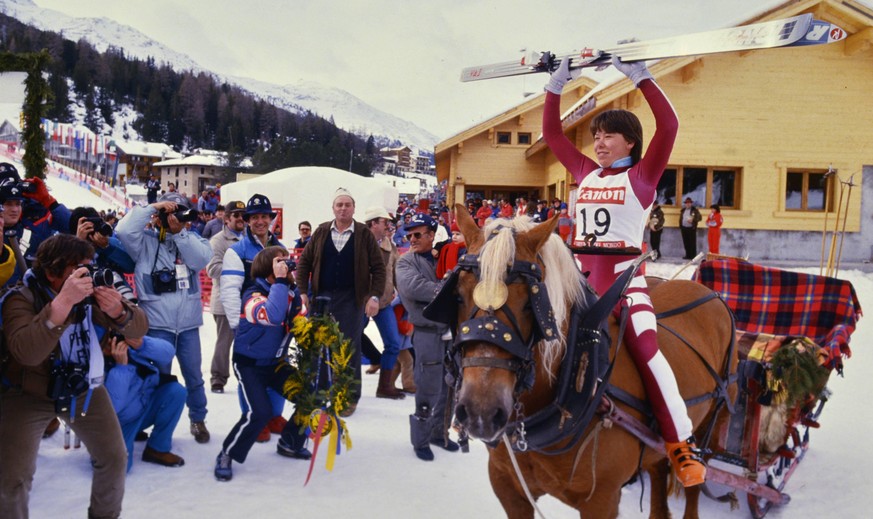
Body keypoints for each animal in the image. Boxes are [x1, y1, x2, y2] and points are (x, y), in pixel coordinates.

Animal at [442, 207, 736, 519]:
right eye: (457, 295)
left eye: (530, 304)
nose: (481, 412)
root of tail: (710, 292)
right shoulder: (508, 487)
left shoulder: (601, 500)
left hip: (711, 425)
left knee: (694, 485)